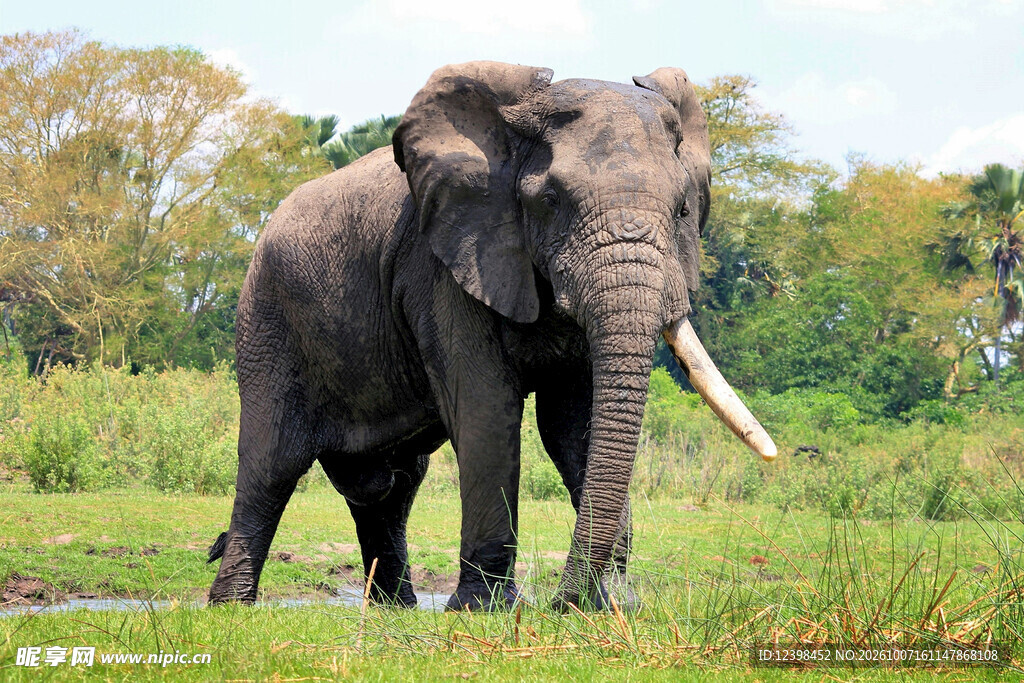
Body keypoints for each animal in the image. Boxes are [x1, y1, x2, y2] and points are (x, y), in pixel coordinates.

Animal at [207, 61, 776, 611]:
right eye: (551, 200)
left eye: (683, 210)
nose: (561, 602)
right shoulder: (445, 264)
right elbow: (486, 408)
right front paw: (486, 608)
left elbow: (575, 422)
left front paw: (613, 605)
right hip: (267, 317)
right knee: (272, 464)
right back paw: (232, 606)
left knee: (392, 485)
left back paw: (394, 609)